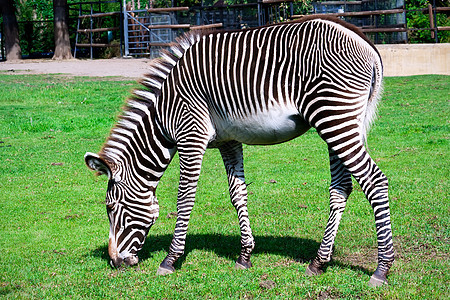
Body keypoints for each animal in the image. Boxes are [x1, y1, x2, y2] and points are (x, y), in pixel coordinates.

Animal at [84, 15, 394, 286]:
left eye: (110, 207)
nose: (113, 262)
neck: (163, 116)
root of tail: (363, 39)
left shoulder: (190, 136)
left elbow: (185, 198)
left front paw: (170, 260)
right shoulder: (228, 140)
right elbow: (237, 194)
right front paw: (245, 255)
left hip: (334, 115)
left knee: (374, 181)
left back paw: (381, 269)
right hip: (339, 121)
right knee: (341, 187)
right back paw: (318, 262)